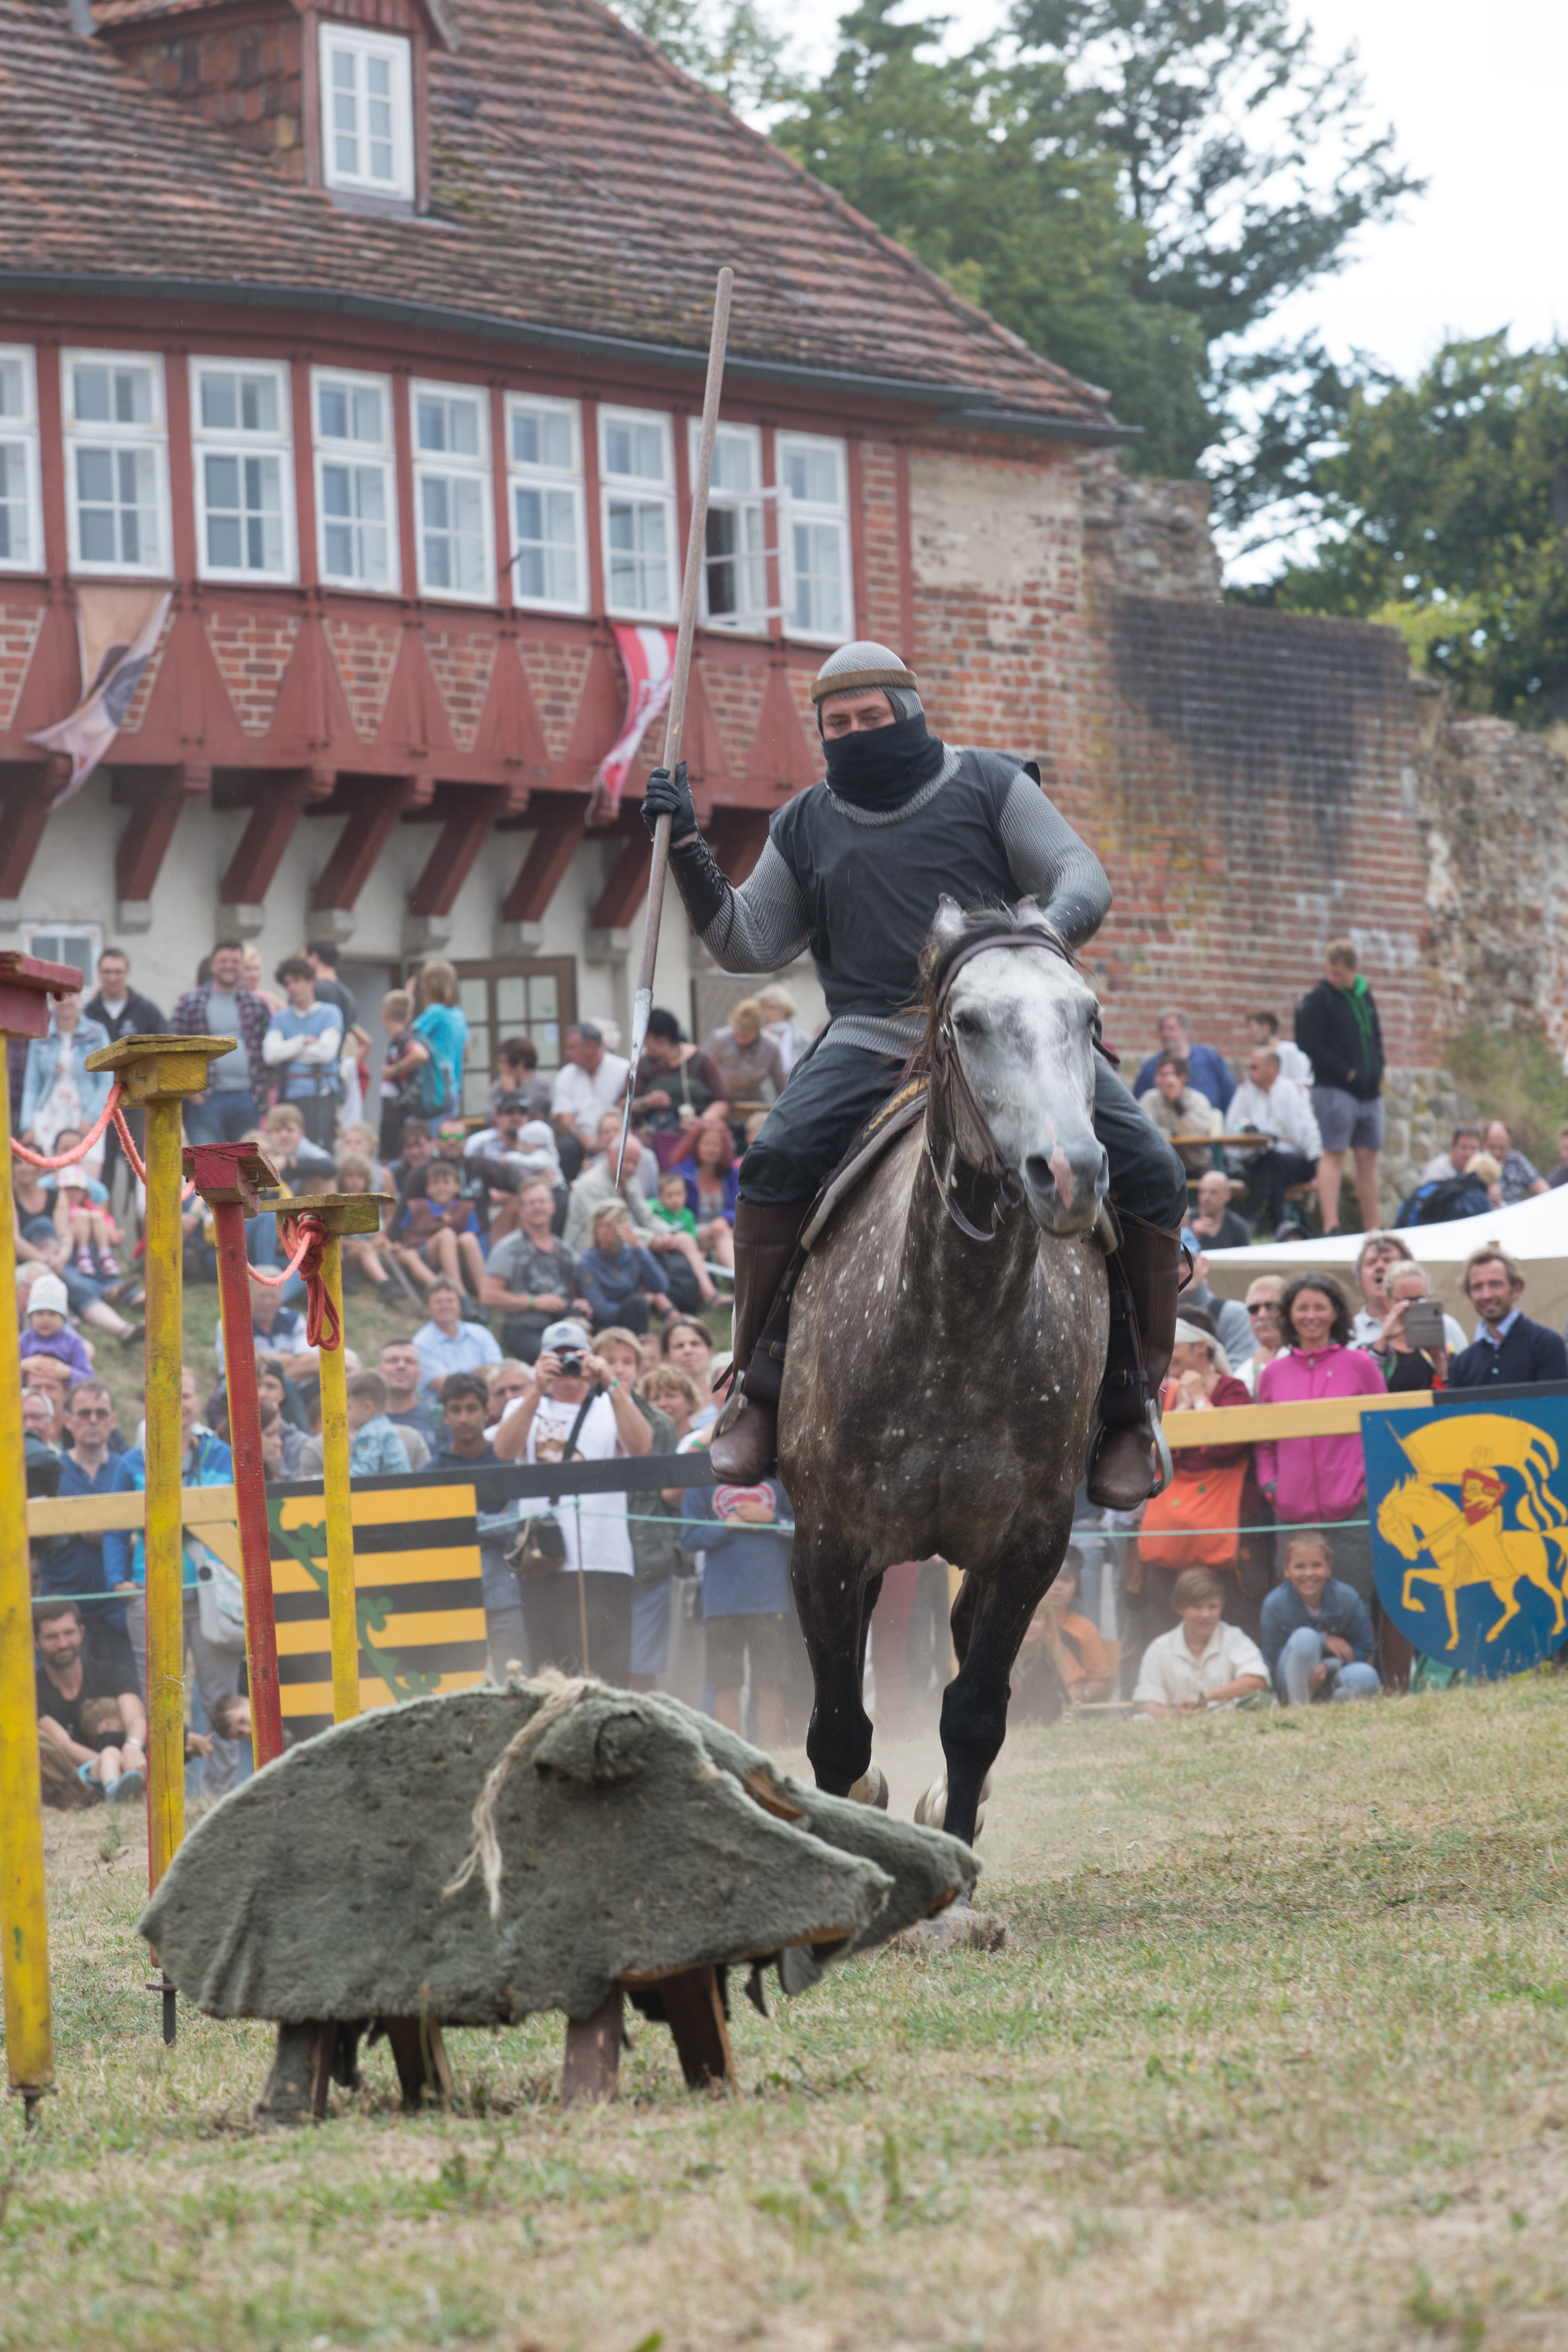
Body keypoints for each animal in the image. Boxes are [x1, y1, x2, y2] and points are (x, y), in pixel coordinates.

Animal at [778, 898, 1111, 1851]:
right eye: (968, 1022)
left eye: (1089, 1018)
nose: (1070, 1174)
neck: (955, 1329)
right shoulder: (825, 1542)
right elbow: (838, 1730)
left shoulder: (1032, 1545)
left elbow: (973, 1713)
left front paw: (953, 1841)